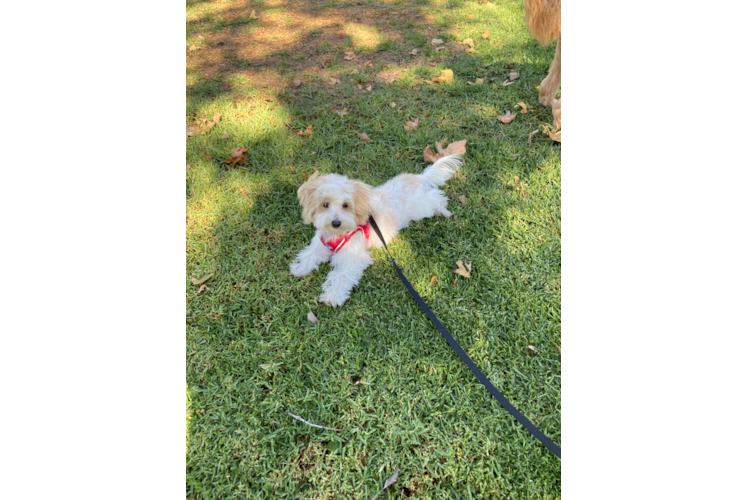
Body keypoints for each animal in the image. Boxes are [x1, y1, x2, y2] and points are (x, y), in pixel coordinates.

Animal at [290, 154, 462, 306]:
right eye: (325, 204)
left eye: (345, 205)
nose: (336, 222)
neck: (337, 234)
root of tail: (415, 178)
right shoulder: (320, 244)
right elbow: (310, 255)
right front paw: (299, 268)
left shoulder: (353, 258)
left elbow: (341, 276)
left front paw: (332, 296)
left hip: (421, 207)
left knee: (435, 197)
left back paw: (443, 210)